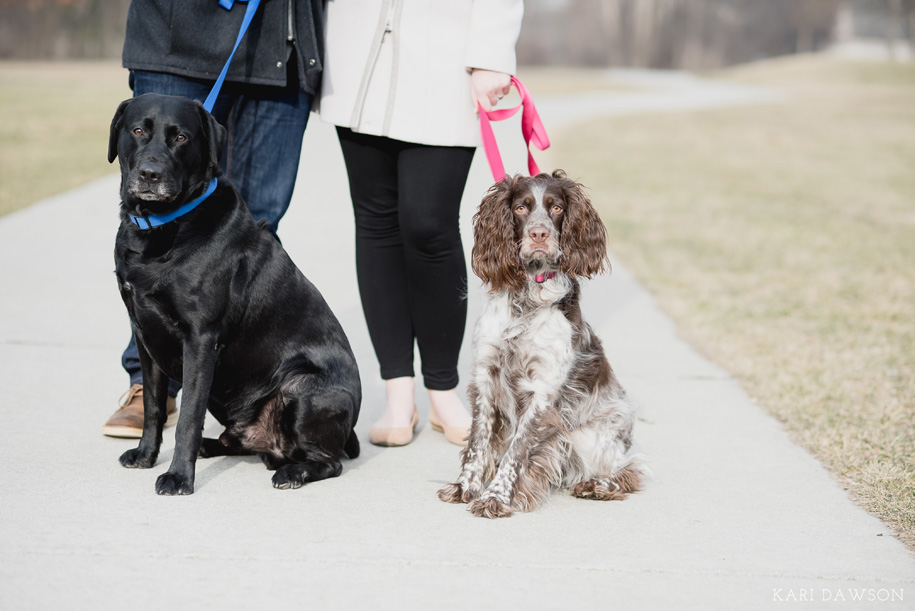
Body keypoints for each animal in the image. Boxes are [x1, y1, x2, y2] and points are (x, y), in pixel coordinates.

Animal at [108, 95, 362, 498]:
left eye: (181, 137)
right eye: (137, 131)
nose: (150, 174)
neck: (163, 226)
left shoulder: (200, 340)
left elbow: (188, 417)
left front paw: (178, 477)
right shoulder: (144, 333)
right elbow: (153, 406)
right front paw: (146, 455)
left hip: (302, 388)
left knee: (330, 461)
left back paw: (293, 472)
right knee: (241, 442)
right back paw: (212, 446)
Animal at [438, 170, 644, 520]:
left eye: (556, 208)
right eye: (521, 208)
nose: (539, 234)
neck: (528, 299)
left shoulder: (542, 391)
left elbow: (516, 451)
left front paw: (496, 498)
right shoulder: (486, 377)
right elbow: (478, 443)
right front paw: (465, 487)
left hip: (594, 437)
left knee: (628, 472)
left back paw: (596, 486)